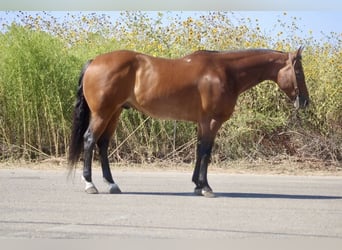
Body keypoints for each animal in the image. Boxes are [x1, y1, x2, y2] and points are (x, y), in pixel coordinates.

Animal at [68, 47, 308, 197]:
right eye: (298, 71)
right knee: (89, 140)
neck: (226, 72)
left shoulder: (202, 123)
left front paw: (196, 185)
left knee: (103, 144)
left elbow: (199, 150)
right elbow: (206, 151)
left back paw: (111, 183)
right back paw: (90, 184)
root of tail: (94, 62)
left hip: (114, 112)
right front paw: (206, 187)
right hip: (102, 113)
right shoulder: (212, 121)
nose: (305, 101)